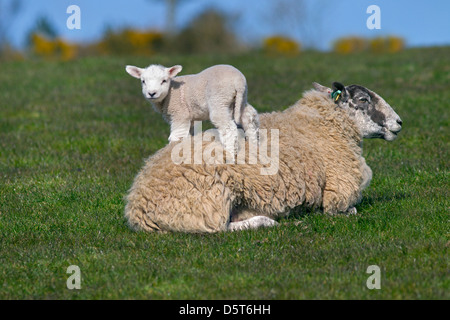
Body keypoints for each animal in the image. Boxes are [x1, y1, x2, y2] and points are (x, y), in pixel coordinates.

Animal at [125, 63, 260, 159]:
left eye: (164, 80)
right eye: (143, 81)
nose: (151, 93)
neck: (169, 93)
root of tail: (238, 80)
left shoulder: (180, 114)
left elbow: (176, 136)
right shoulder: (190, 119)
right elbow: (187, 136)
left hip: (219, 100)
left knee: (228, 128)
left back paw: (230, 154)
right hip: (239, 99)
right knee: (249, 117)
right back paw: (254, 145)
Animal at [125, 82, 402, 232]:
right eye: (364, 99)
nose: (399, 122)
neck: (324, 125)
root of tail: (137, 205)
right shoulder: (337, 194)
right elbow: (348, 210)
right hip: (207, 199)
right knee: (218, 228)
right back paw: (264, 221)